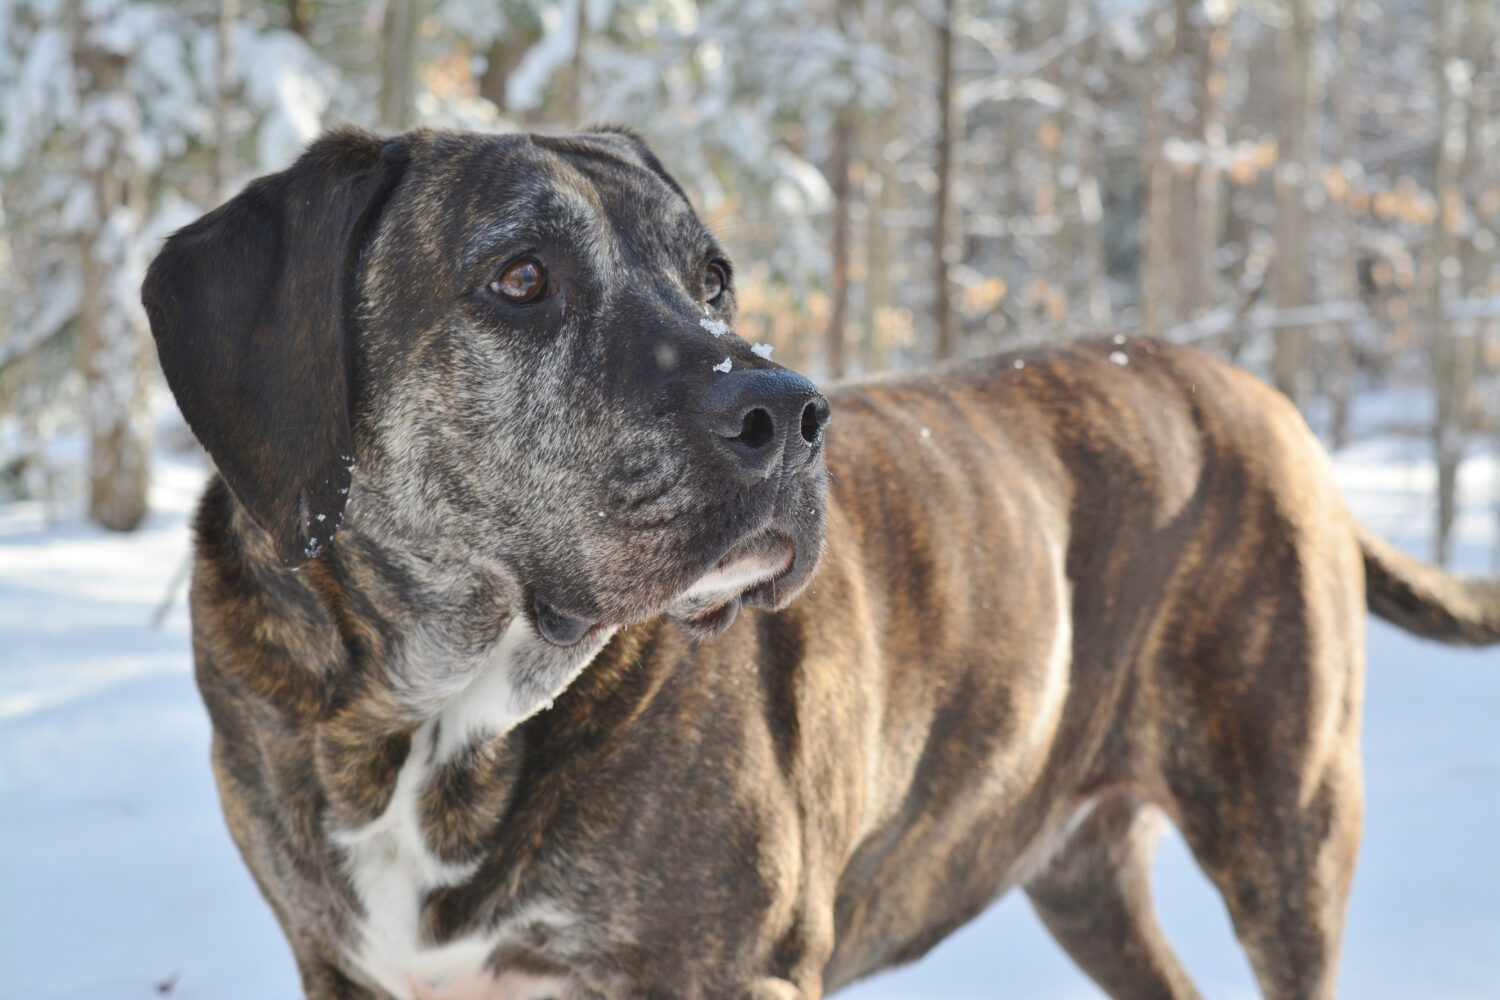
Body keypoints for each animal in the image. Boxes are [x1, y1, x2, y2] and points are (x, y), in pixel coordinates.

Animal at [141, 128, 1500, 1000]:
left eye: (713, 277)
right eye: (519, 277)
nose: (791, 414)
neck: (433, 717)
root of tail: (1269, 404)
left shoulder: (736, 969)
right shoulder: (339, 966)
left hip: (1288, 826)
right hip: (1082, 868)